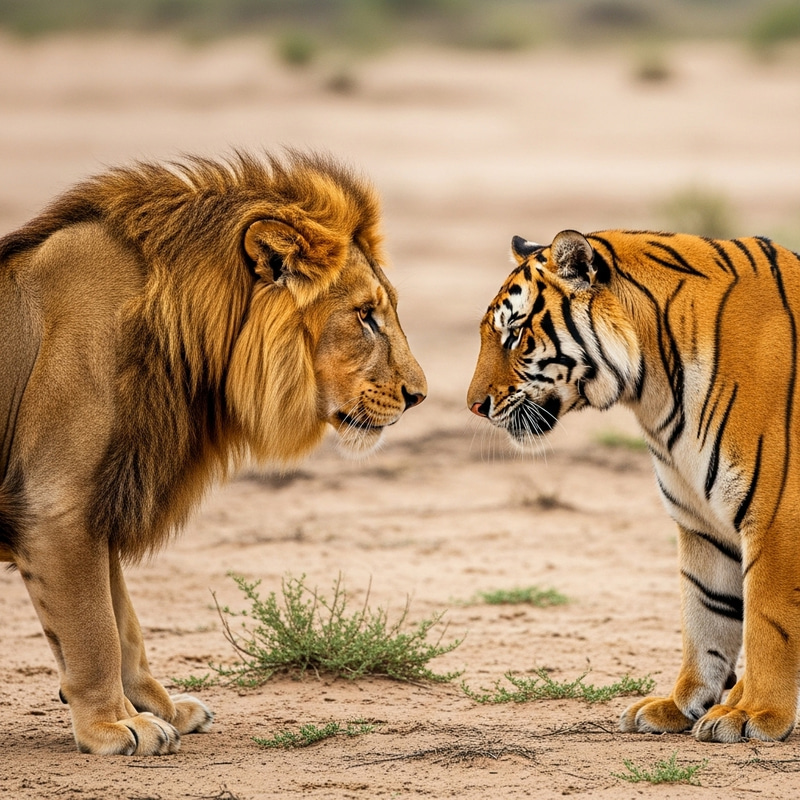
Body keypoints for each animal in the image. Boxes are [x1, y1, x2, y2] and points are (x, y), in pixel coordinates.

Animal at [0, 151, 426, 755]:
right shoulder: (56, 506)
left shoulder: (104, 499)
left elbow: (124, 625)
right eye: (366, 315)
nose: (419, 396)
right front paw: (115, 726)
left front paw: (161, 710)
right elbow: (93, 630)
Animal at [468, 227, 800, 743]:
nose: (474, 406)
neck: (658, 389)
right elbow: (705, 616)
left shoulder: (775, 516)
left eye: (516, 334)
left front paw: (755, 714)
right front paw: (682, 705)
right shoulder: (700, 520)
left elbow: (768, 623)